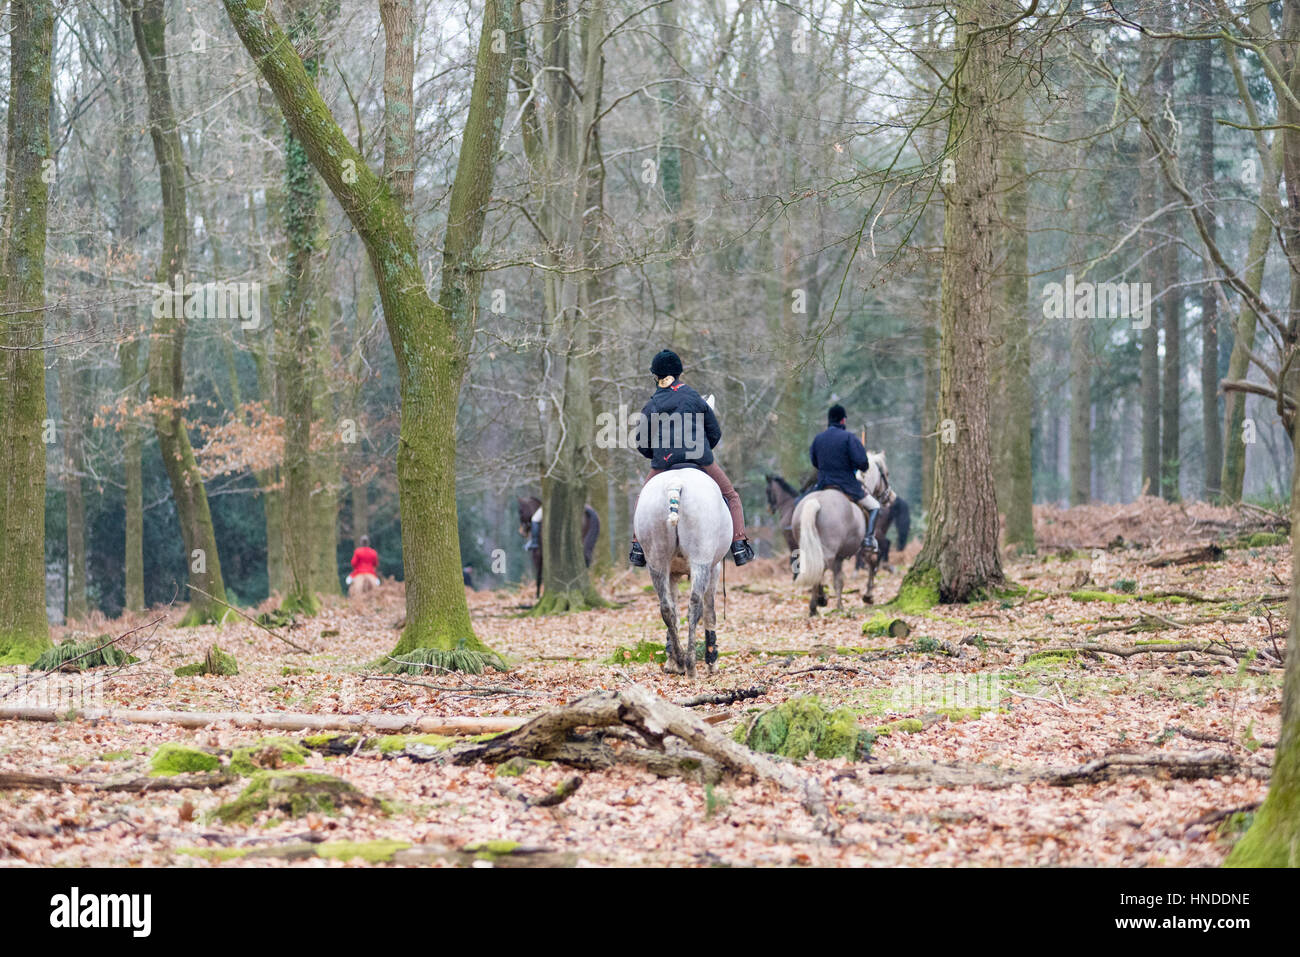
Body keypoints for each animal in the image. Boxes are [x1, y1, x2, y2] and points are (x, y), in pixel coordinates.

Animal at [631, 468, 733, 676]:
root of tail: (676, 483)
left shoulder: (672, 574)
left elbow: (674, 612)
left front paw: (671, 659)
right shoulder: (714, 568)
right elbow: (710, 612)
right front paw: (712, 661)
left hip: (656, 562)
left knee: (666, 608)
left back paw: (679, 660)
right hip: (701, 561)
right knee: (695, 605)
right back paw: (691, 664)